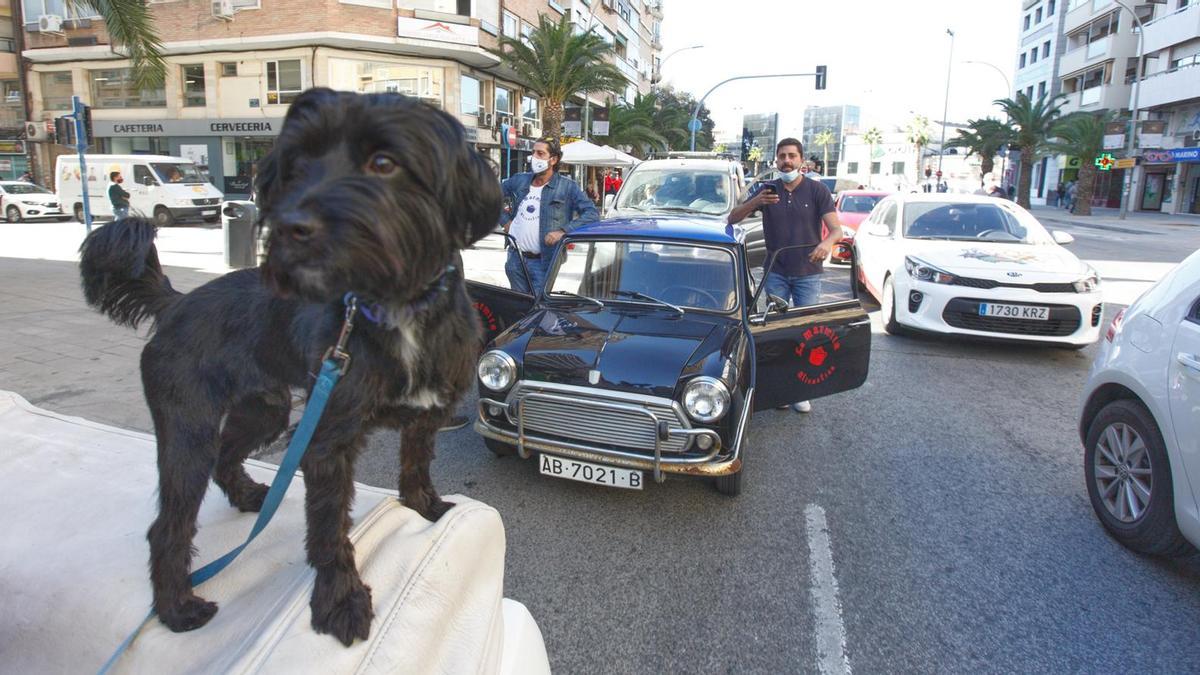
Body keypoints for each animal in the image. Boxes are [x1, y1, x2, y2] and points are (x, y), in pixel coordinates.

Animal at [78, 86, 501, 643]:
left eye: (384, 162)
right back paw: (176, 607)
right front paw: (340, 600)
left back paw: (250, 498)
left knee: (226, 455)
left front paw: (424, 508)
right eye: (297, 167)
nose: (289, 227)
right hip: (187, 427)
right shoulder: (328, 443)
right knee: (167, 526)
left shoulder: (425, 416)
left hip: (266, 409)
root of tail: (176, 303)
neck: (395, 307)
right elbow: (328, 529)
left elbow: (416, 465)